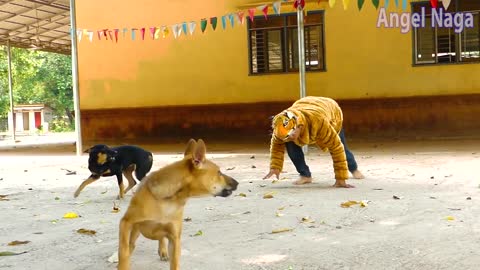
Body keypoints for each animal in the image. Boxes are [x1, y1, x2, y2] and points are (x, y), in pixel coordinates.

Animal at [117, 139, 239, 270]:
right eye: (219, 172)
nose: (237, 183)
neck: (168, 200)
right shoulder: (125, 223)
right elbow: (123, 251)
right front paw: (123, 262)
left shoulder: (174, 238)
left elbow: (174, 262)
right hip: (134, 230)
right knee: (131, 244)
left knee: (160, 239)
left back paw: (162, 250)